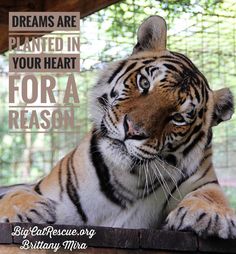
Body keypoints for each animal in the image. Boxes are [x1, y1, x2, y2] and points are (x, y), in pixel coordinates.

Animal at [0, 15, 235, 238]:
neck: (128, 182)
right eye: (144, 83)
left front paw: (211, 215)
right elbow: (16, 194)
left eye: (178, 118)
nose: (132, 130)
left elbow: (210, 194)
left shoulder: (204, 178)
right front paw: (26, 208)